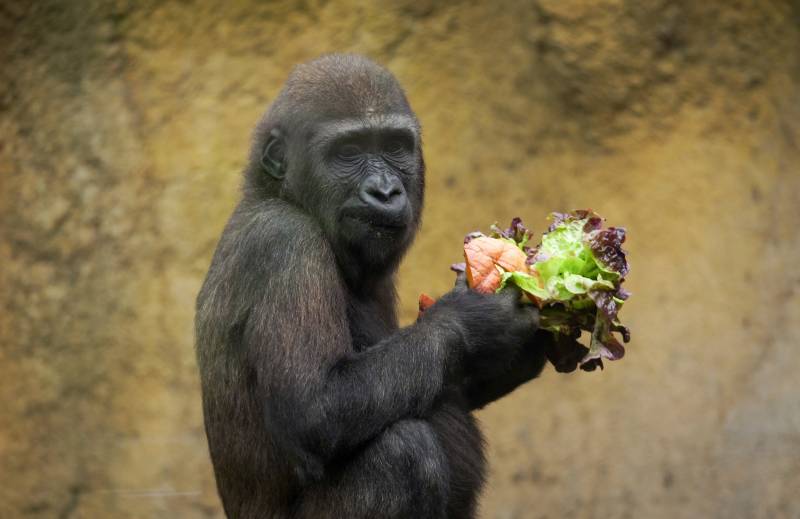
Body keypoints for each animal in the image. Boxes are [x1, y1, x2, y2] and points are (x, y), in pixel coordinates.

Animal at [196, 54, 560, 516]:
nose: (385, 192)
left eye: (394, 147)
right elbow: (313, 409)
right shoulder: (284, 243)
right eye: (348, 152)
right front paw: (474, 322)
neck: (275, 194)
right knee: (400, 451)